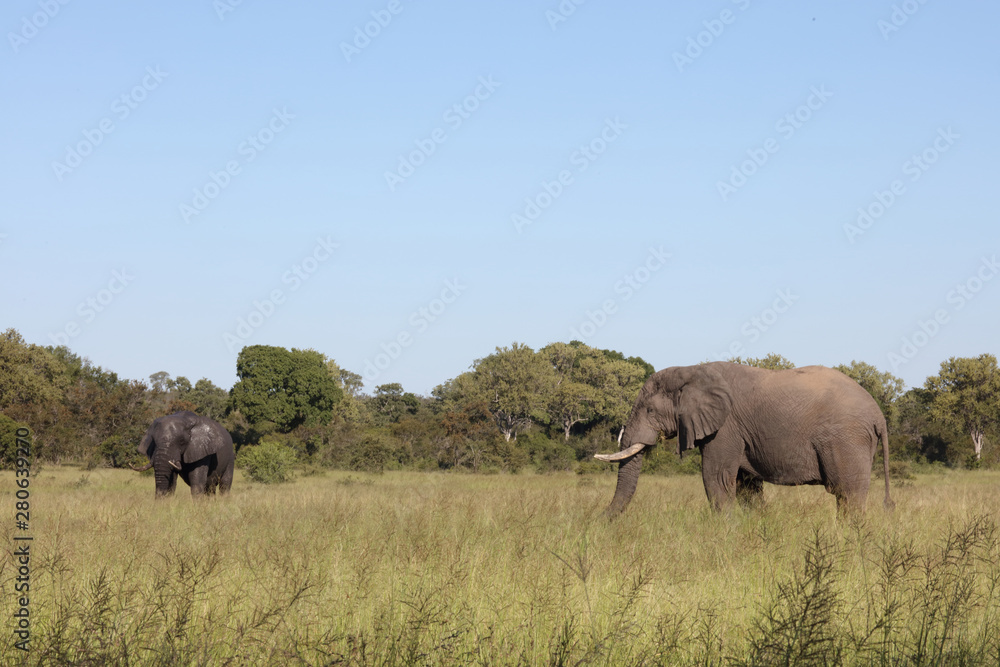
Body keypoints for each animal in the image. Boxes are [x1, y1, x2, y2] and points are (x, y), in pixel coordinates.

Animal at [595, 362, 892, 515]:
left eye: (650, 411)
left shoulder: (726, 427)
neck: (691, 369)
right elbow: (746, 485)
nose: (599, 519)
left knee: (848, 495)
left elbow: (716, 477)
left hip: (846, 438)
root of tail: (879, 415)